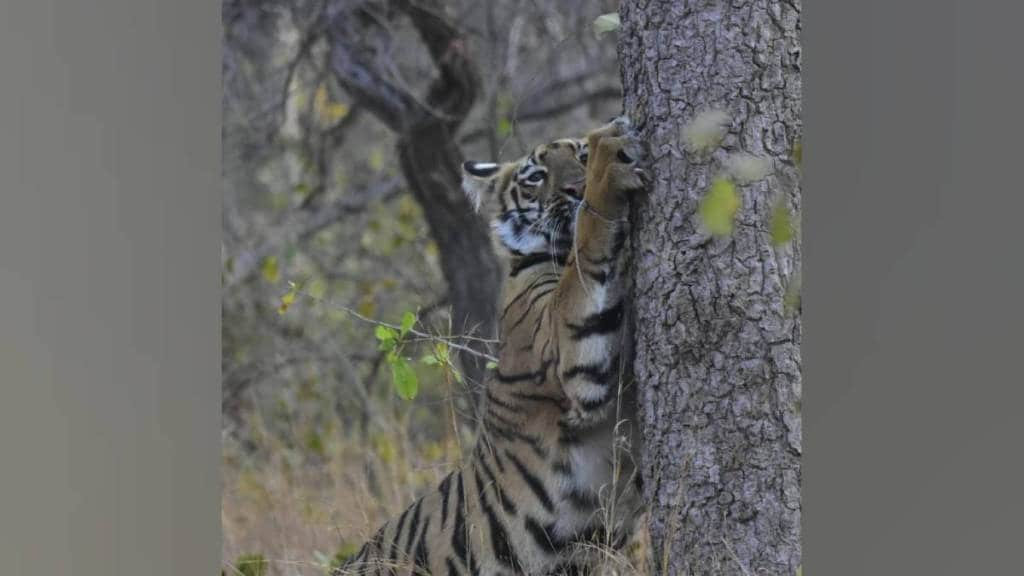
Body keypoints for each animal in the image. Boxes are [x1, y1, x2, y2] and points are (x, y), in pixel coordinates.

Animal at [337, 117, 647, 573]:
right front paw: (609, 159)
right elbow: (589, 243)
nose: (575, 187)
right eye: (536, 177)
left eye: (579, 156)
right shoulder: (574, 358)